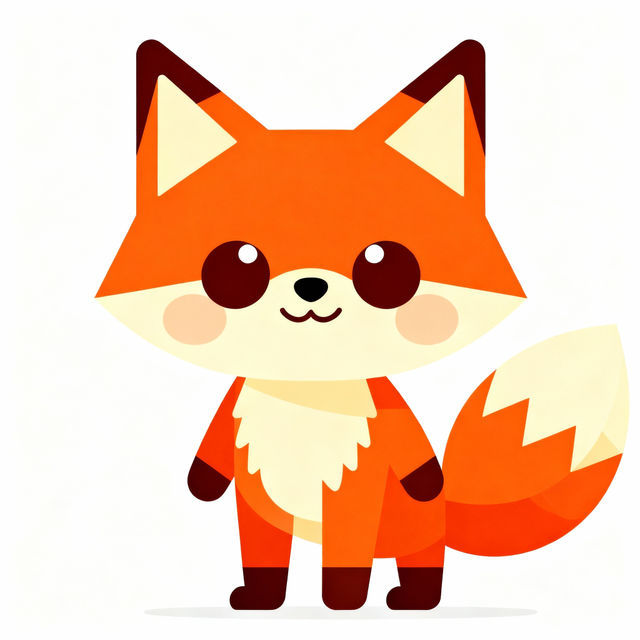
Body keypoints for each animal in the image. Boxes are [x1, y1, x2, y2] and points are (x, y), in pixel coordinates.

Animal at [97, 39, 629, 610]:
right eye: (237, 264)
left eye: (384, 263)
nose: (310, 287)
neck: (307, 390)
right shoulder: (251, 492)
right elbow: (246, 526)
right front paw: (261, 597)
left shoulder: (357, 485)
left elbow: (362, 535)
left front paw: (343, 601)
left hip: (411, 528)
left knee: (422, 561)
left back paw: (412, 599)